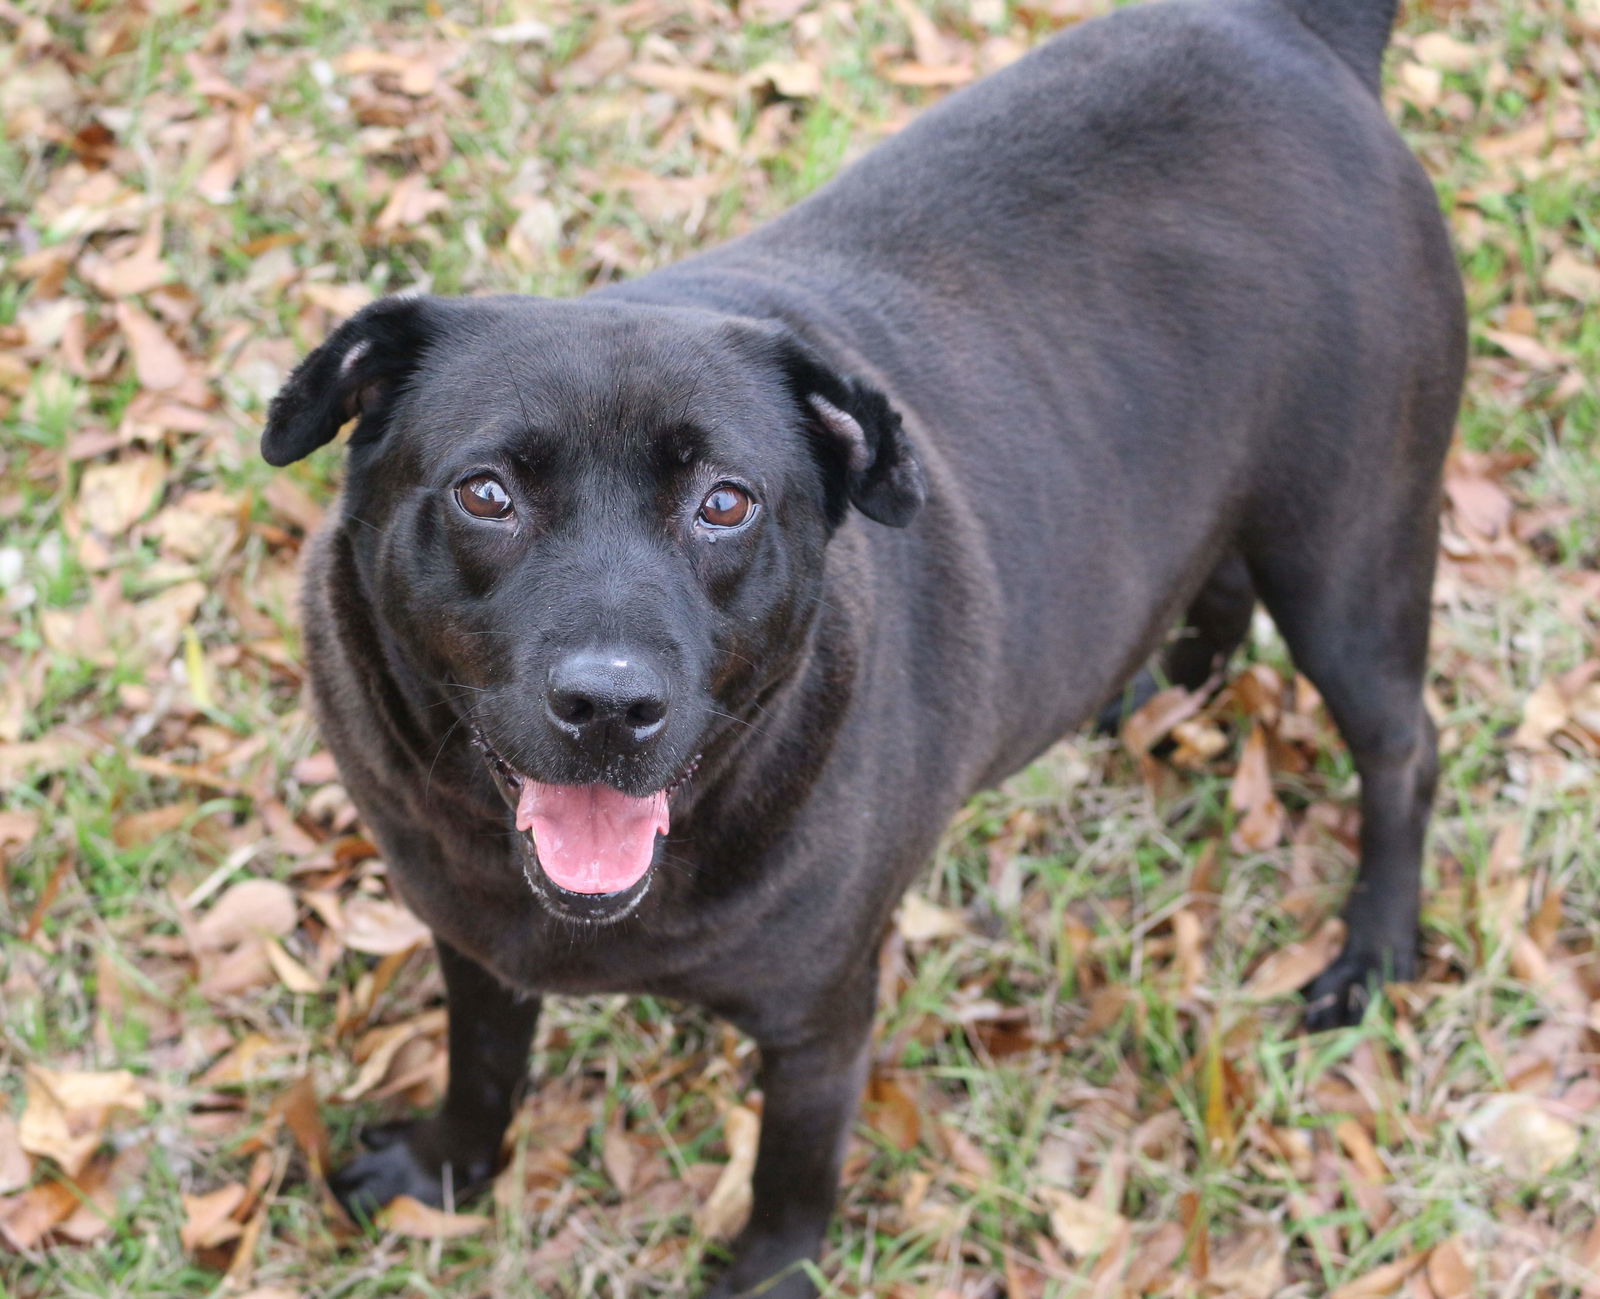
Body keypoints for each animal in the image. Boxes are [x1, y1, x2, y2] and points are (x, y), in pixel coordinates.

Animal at [259, 2, 1465, 1286]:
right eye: (485, 494)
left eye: (726, 503)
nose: (610, 705)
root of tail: (1285, 31)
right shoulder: (475, 942)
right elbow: (484, 1064)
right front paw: (443, 1172)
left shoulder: (820, 1022)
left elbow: (792, 1179)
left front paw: (765, 1281)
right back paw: (1163, 691)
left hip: (1348, 559)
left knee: (1404, 751)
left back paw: (1372, 949)